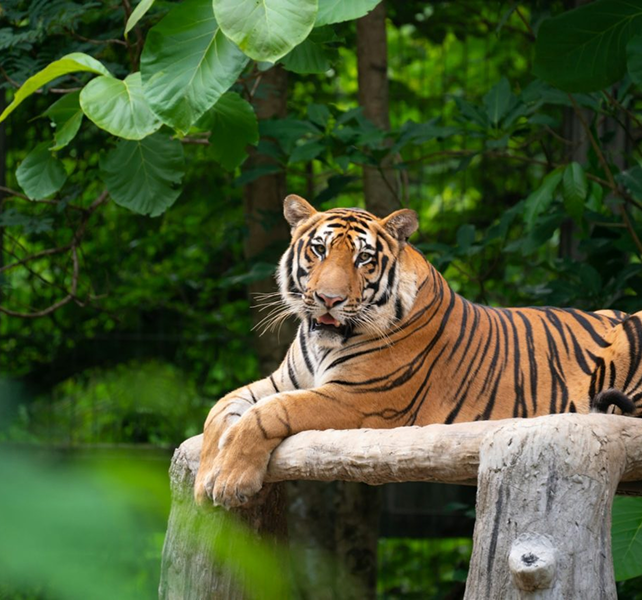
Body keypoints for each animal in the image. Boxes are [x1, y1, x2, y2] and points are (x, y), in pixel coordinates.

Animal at [195, 194, 642, 508]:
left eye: (364, 258)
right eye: (319, 250)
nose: (328, 299)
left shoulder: (358, 399)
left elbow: (270, 413)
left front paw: (231, 480)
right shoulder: (281, 381)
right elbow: (221, 409)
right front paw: (203, 481)